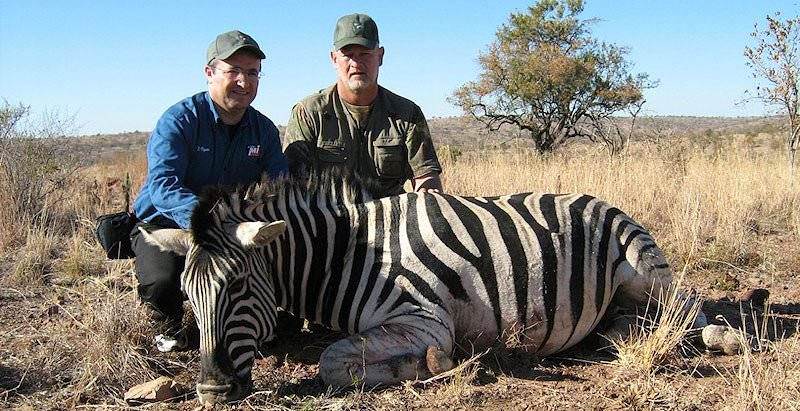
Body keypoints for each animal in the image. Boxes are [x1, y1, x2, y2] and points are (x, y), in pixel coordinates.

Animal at [141, 174, 708, 406]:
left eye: (237, 285)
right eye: (188, 293)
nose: (211, 392)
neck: (346, 255)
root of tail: (600, 199)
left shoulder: (424, 319)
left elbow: (332, 362)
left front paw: (432, 367)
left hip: (643, 269)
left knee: (688, 309)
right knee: (630, 323)